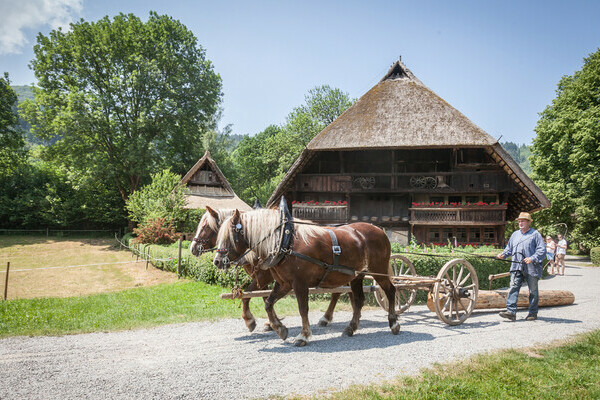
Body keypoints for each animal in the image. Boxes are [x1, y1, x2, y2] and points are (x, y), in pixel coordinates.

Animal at [190, 206, 344, 332]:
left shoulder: (264, 277)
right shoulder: (263, 280)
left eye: (205, 227)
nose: (192, 248)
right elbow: (265, 297)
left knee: (337, 292)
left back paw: (326, 317)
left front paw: (251, 320)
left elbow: (248, 294)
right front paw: (271, 323)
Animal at [212, 208, 398, 346]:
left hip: (378, 269)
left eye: (231, 236)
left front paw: (303, 335)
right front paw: (279, 328)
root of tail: (379, 230)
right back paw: (351, 328)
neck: (285, 241)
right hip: (356, 276)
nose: (217, 261)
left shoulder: (299, 283)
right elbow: (268, 303)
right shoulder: (284, 283)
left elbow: (303, 309)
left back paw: (394, 323)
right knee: (358, 300)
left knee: (390, 291)